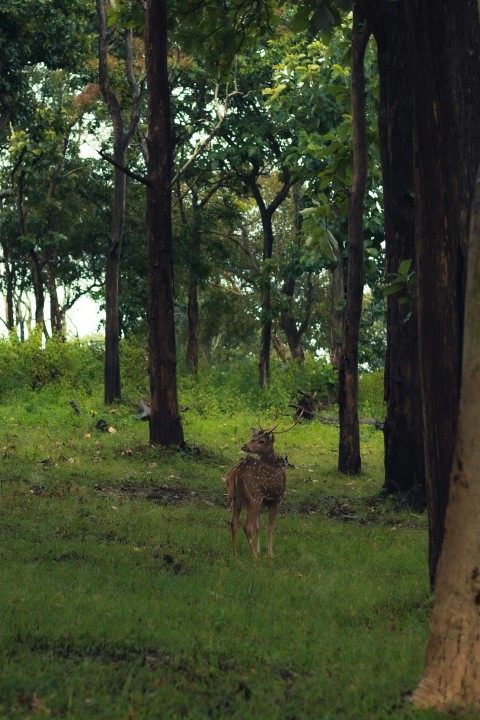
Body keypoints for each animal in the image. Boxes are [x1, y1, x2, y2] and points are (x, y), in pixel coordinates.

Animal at [224, 414, 300, 560]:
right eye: (252, 437)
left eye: (261, 441)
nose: (244, 446)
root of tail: (236, 471)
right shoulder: (276, 500)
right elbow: (270, 527)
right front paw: (270, 554)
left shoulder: (264, 503)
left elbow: (258, 527)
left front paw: (260, 550)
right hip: (254, 497)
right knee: (247, 526)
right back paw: (255, 557)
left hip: (238, 498)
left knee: (233, 524)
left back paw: (235, 554)